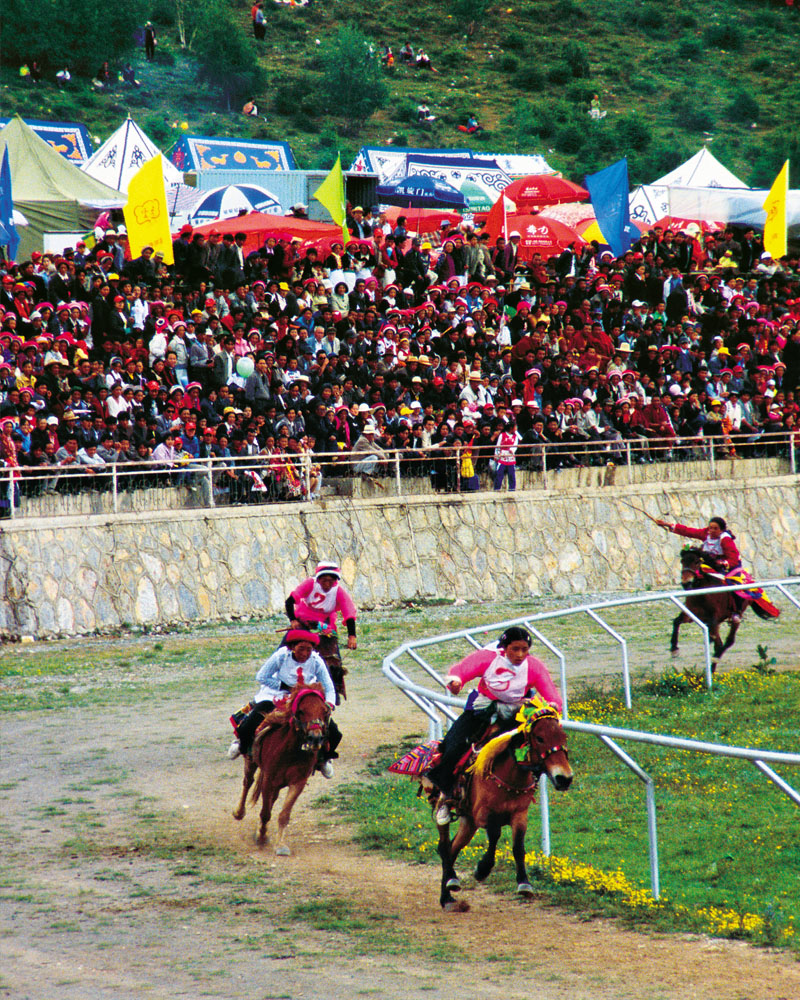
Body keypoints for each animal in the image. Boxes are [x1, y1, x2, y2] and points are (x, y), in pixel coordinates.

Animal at [232, 682, 331, 854]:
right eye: (301, 711)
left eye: (324, 711)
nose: (315, 738)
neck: (290, 751)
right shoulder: (268, 779)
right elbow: (265, 812)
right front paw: (262, 836)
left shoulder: (298, 783)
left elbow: (284, 814)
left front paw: (280, 845)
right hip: (251, 762)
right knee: (247, 782)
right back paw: (239, 812)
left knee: (272, 797)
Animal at [426, 701, 572, 911]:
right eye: (540, 738)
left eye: (564, 737)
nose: (564, 778)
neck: (509, 776)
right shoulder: (483, 813)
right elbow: (495, 835)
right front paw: (482, 869)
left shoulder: (519, 815)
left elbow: (518, 846)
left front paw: (524, 883)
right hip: (448, 810)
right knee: (444, 846)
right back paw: (448, 889)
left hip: (468, 822)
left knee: (453, 847)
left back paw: (449, 890)